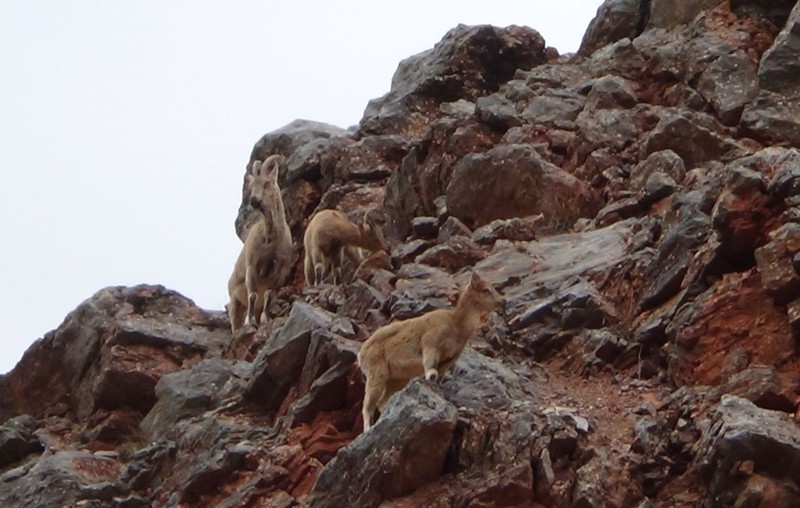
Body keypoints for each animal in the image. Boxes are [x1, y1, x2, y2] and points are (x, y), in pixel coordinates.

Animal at [227, 155, 292, 334]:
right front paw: (251, 322)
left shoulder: (279, 269)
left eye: (267, 183)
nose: (254, 201)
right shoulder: (252, 265)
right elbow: (253, 295)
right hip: (234, 303)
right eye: (252, 186)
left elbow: (268, 294)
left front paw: (265, 319)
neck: (270, 238)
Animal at [356, 272, 500, 430]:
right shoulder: (431, 347)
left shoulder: (448, 361)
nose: (502, 301)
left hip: (397, 379)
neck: (456, 325)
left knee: (382, 402)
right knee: (368, 406)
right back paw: (368, 429)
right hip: (377, 376)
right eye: (486, 290)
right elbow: (430, 373)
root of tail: (361, 354)